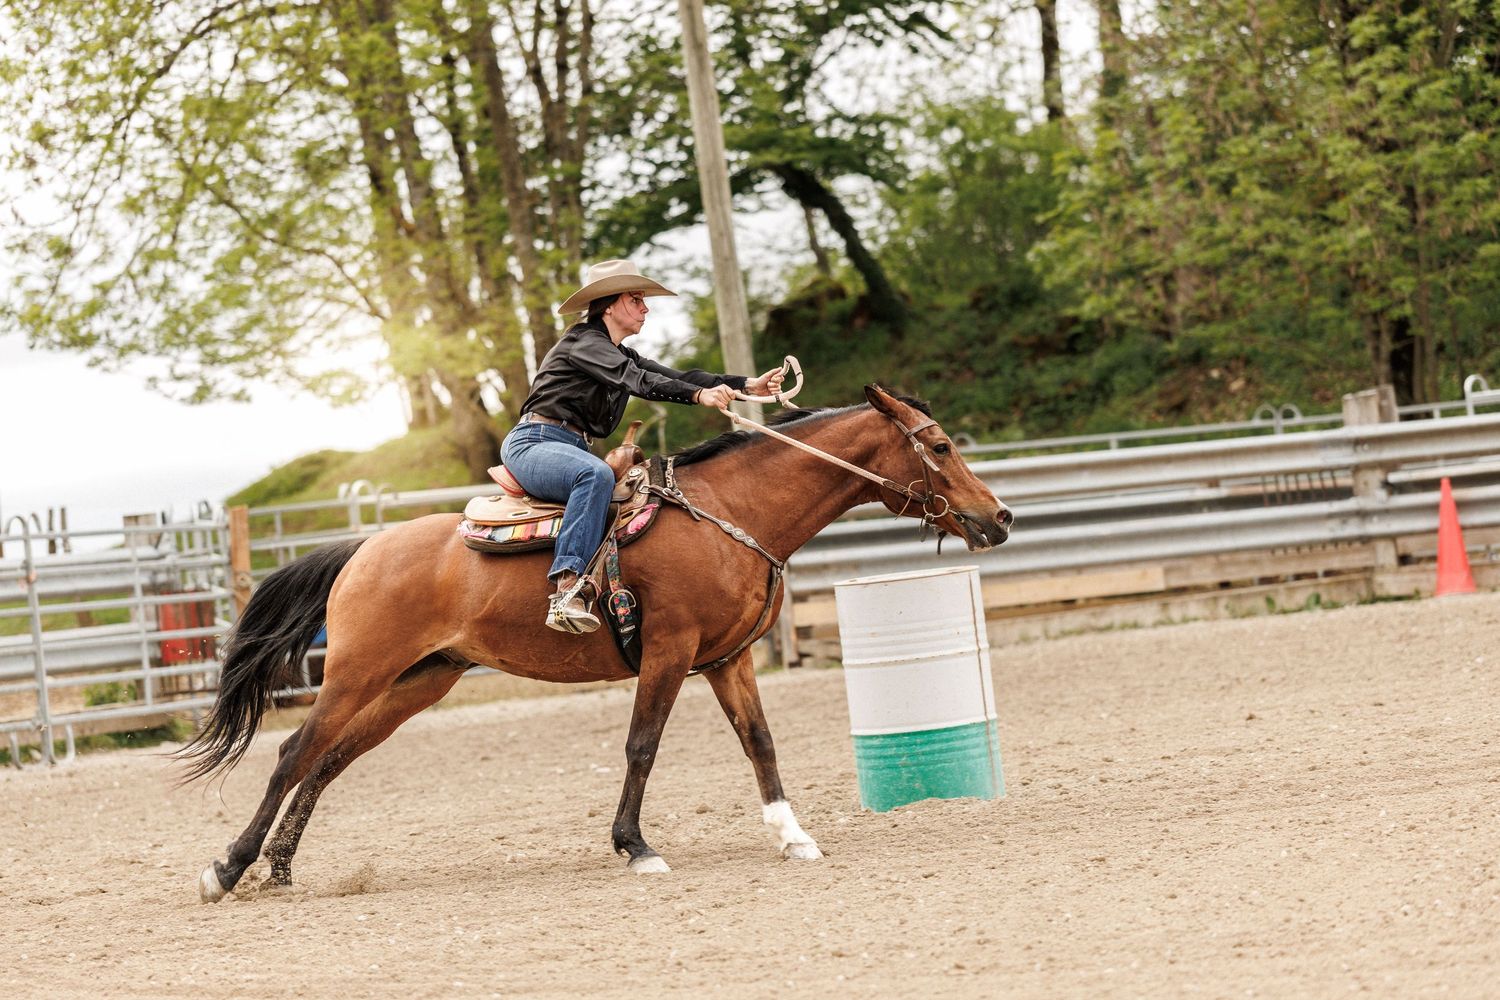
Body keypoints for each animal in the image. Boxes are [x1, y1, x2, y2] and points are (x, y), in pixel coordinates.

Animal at [182, 385, 1012, 902]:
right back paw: (227, 870)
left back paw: (280, 870)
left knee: (327, 761)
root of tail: (362, 549)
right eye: (940, 445)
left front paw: (793, 836)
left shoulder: (728, 658)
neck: (733, 512)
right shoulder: (669, 651)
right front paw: (635, 847)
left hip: (419, 680)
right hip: (358, 671)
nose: (999, 517)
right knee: (295, 753)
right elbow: (642, 745)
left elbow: (760, 742)